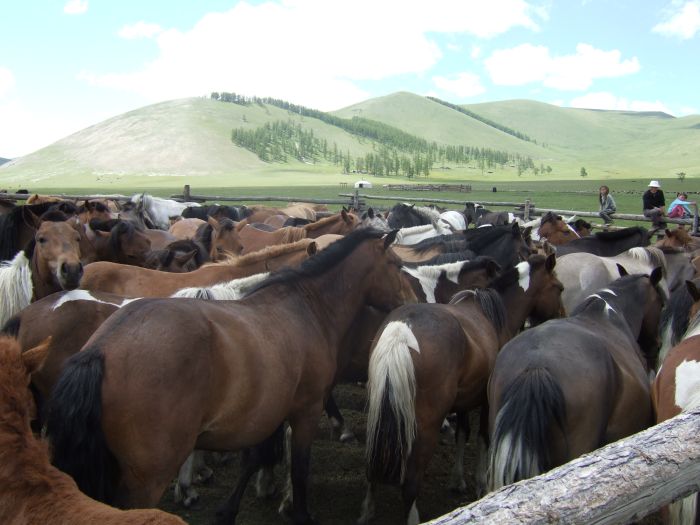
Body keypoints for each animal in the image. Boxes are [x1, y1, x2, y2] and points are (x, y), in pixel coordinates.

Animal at [360, 254, 564, 524]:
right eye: (559, 288)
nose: (562, 315)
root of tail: (402, 330)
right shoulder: (485, 401)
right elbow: (482, 437)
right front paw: (480, 484)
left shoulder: (466, 399)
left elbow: (462, 434)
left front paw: (457, 480)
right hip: (426, 427)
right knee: (411, 484)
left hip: (380, 414)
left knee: (372, 464)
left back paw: (367, 511)